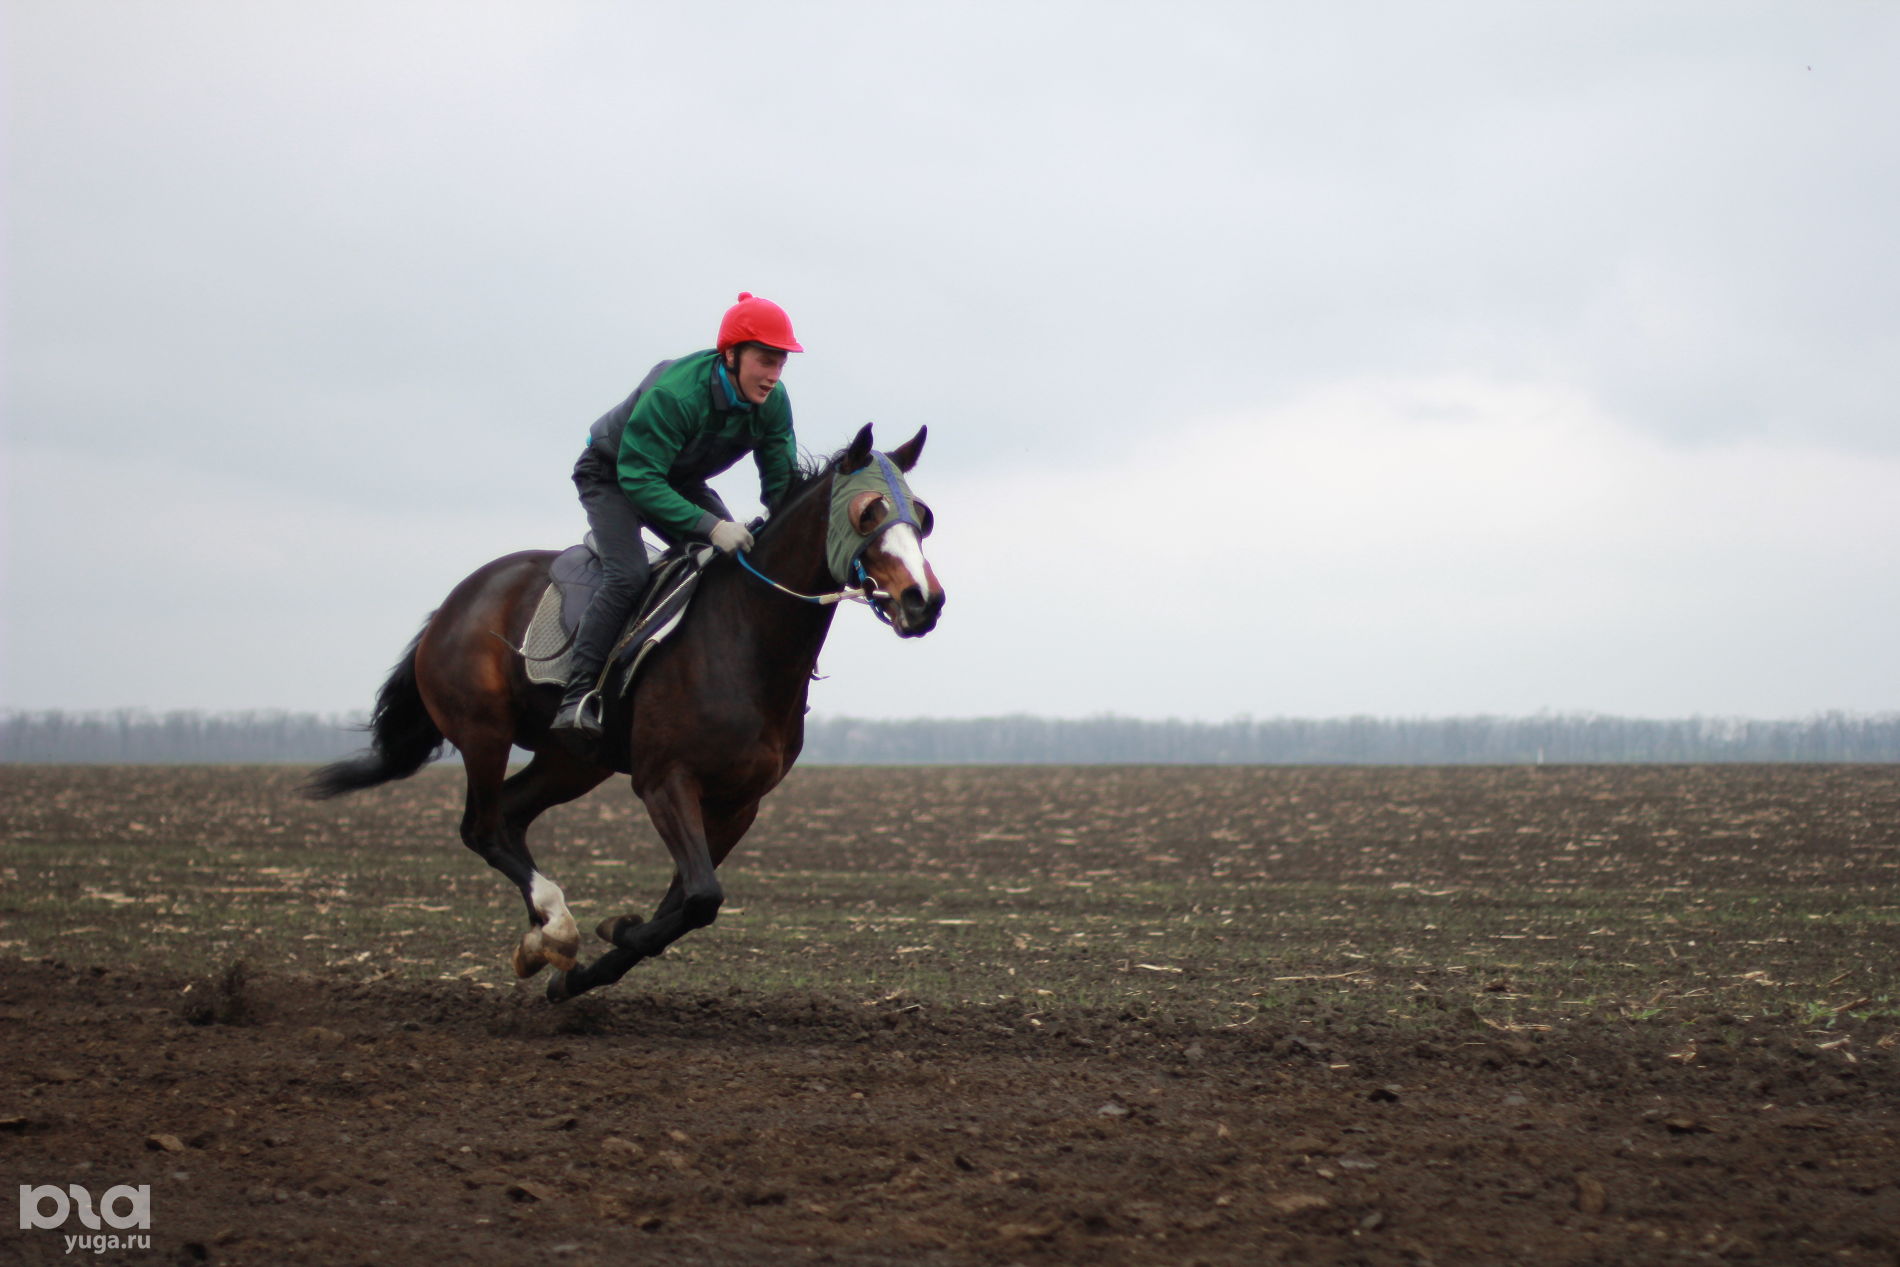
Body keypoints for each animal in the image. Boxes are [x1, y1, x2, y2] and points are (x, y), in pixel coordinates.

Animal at [304, 424, 943, 1002]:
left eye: (923, 515)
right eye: (868, 511)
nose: (924, 600)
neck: (745, 639)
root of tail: (452, 604)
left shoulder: (740, 802)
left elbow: (688, 902)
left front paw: (588, 966)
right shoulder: (665, 780)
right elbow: (701, 896)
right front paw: (609, 935)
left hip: (572, 762)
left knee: (509, 815)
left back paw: (542, 938)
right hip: (483, 731)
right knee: (481, 826)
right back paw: (556, 924)